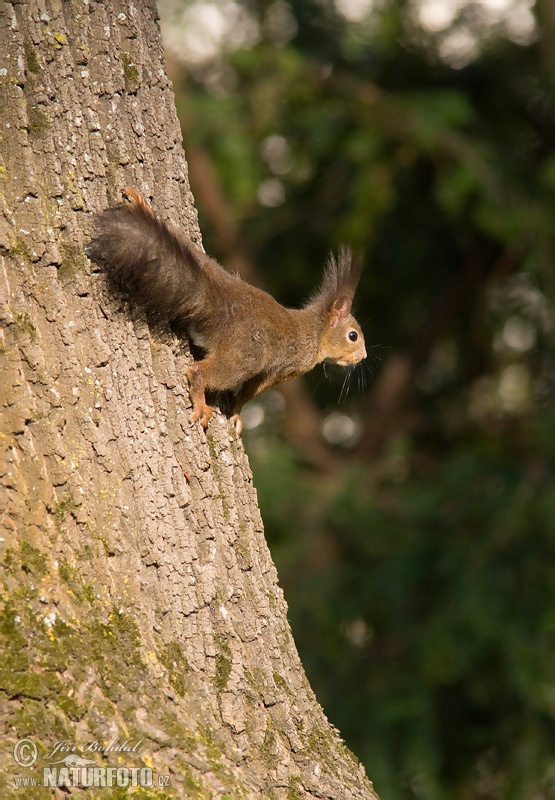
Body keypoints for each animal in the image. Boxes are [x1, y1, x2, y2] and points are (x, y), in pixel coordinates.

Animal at [87, 188, 368, 434]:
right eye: (353, 336)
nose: (363, 356)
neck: (316, 331)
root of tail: (218, 304)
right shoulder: (285, 370)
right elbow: (251, 391)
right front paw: (237, 412)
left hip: (214, 273)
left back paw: (143, 207)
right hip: (242, 357)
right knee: (201, 373)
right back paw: (201, 404)